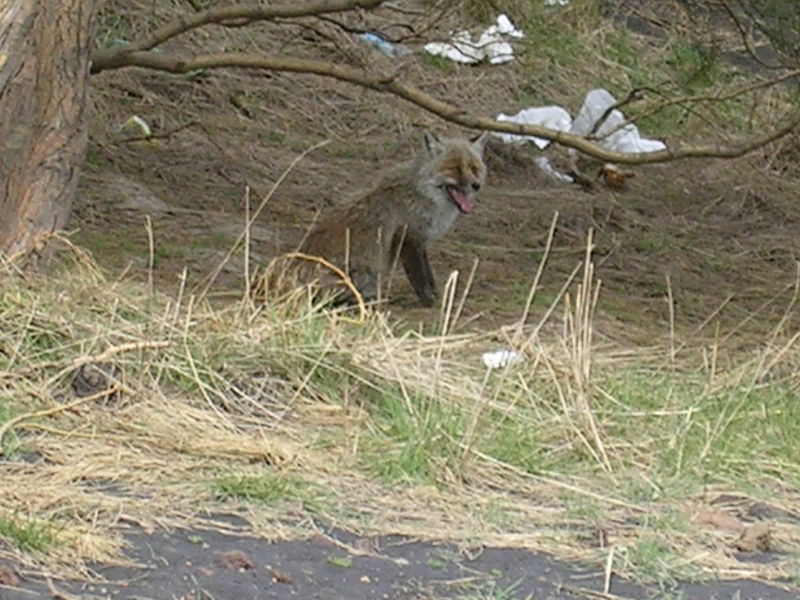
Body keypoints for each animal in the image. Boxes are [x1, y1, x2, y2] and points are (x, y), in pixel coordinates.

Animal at [298, 132, 488, 310]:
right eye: (454, 168)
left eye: (474, 168)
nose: (476, 185)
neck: (421, 194)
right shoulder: (408, 240)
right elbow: (421, 279)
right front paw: (431, 302)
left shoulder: (420, 241)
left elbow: (429, 275)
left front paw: (438, 297)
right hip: (360, 275)